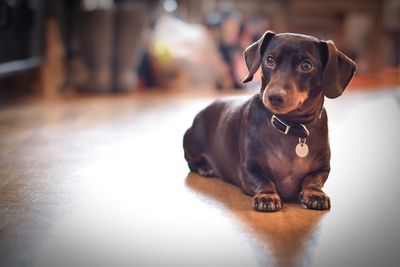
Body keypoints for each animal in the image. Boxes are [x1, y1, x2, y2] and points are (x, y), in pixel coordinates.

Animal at [184, 30, 356, 211]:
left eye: (306, 65)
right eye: (270, 60)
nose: (274, 97)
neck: (291, 126)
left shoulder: (322, 168)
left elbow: (313, 180)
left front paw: (315, 194)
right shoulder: (248, 170)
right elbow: (264, 181)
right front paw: (267, 196)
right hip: (191, 146)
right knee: (191, 163)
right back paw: (205, 168)